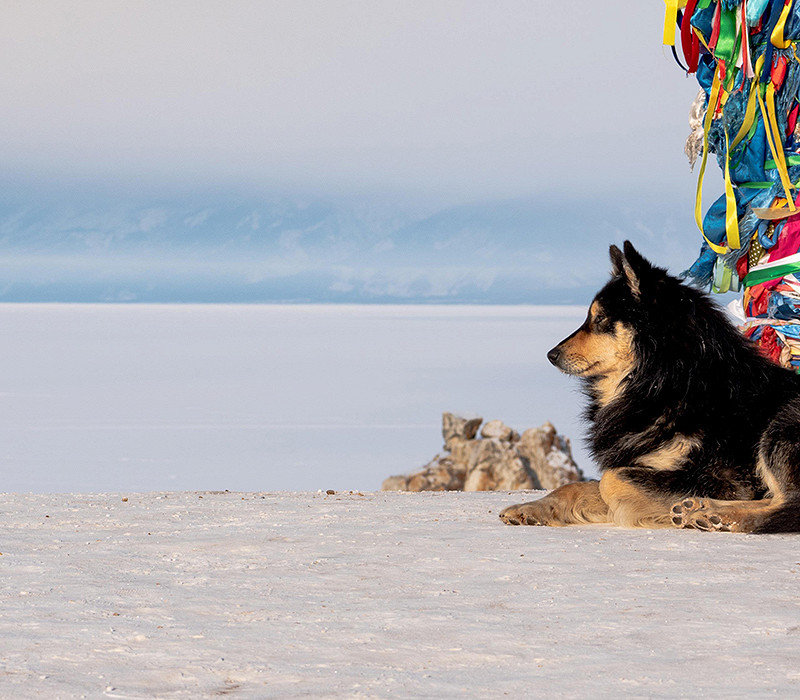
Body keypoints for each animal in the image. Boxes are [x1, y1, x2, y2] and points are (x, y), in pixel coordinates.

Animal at [504, 243, 800, 532]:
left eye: (599, 319)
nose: (551, 355)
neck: (668, 381)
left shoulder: (724, 479)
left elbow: (609, 481)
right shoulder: (641, 464)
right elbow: (576, 486)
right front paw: (530, 509)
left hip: (778, 429)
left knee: (789, 506)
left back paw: (719, 515)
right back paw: (700, 508)